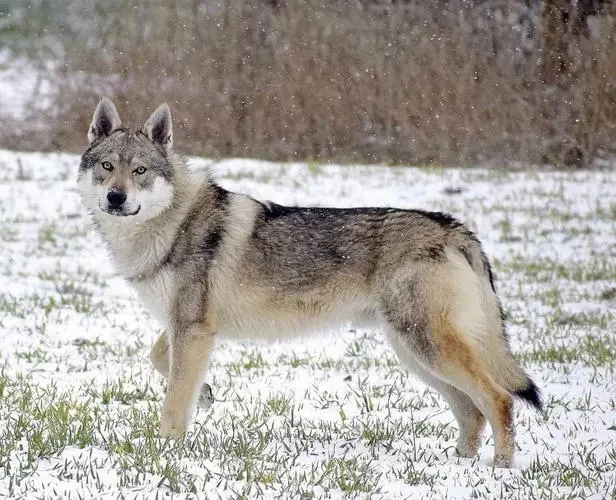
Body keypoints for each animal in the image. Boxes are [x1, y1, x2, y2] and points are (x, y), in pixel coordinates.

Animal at [79, 98, 540, 468]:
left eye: (140, 170)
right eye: (107, 167)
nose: (116, 198)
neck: (169, 225)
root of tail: (453, 227)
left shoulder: (192, 329)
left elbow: (174, 400)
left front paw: (165, 451)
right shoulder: (188, 327)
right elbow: (159, 358)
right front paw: (206, 394)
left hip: (427, 347)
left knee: (499, 398)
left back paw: (501, 467)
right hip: (414, 353)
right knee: (472, 411)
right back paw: (461, 463)